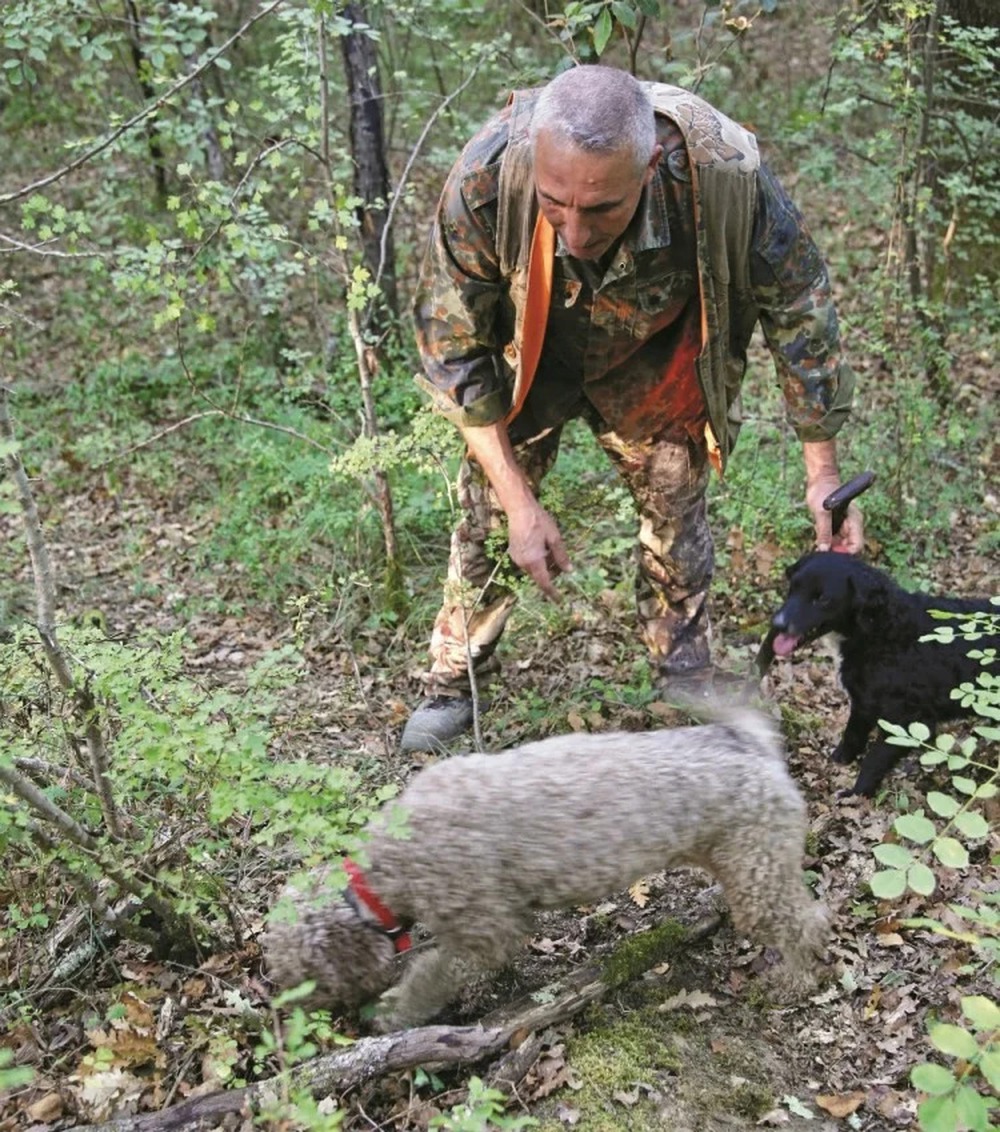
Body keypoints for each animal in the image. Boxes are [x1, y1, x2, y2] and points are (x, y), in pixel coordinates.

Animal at [761, 552, 996, 792]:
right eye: (792, 587)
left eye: (822, 598)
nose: (777, 624)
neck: (883, 631)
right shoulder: (864, 700)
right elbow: (853, 734)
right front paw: (840, 760)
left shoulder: (906, 717)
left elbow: (874, 759)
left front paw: (857, 792)